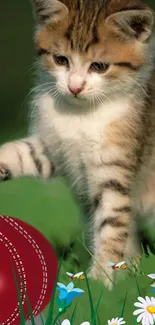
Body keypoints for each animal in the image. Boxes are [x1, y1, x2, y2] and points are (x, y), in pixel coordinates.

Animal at [0, 0, 155, 288]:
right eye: (61, 60)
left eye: (100, 66)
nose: (75, 87)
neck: (80, 114)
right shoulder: (53, 150)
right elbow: (23, 153)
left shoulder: (113, 173)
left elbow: (111, 225)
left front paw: (101, 281)